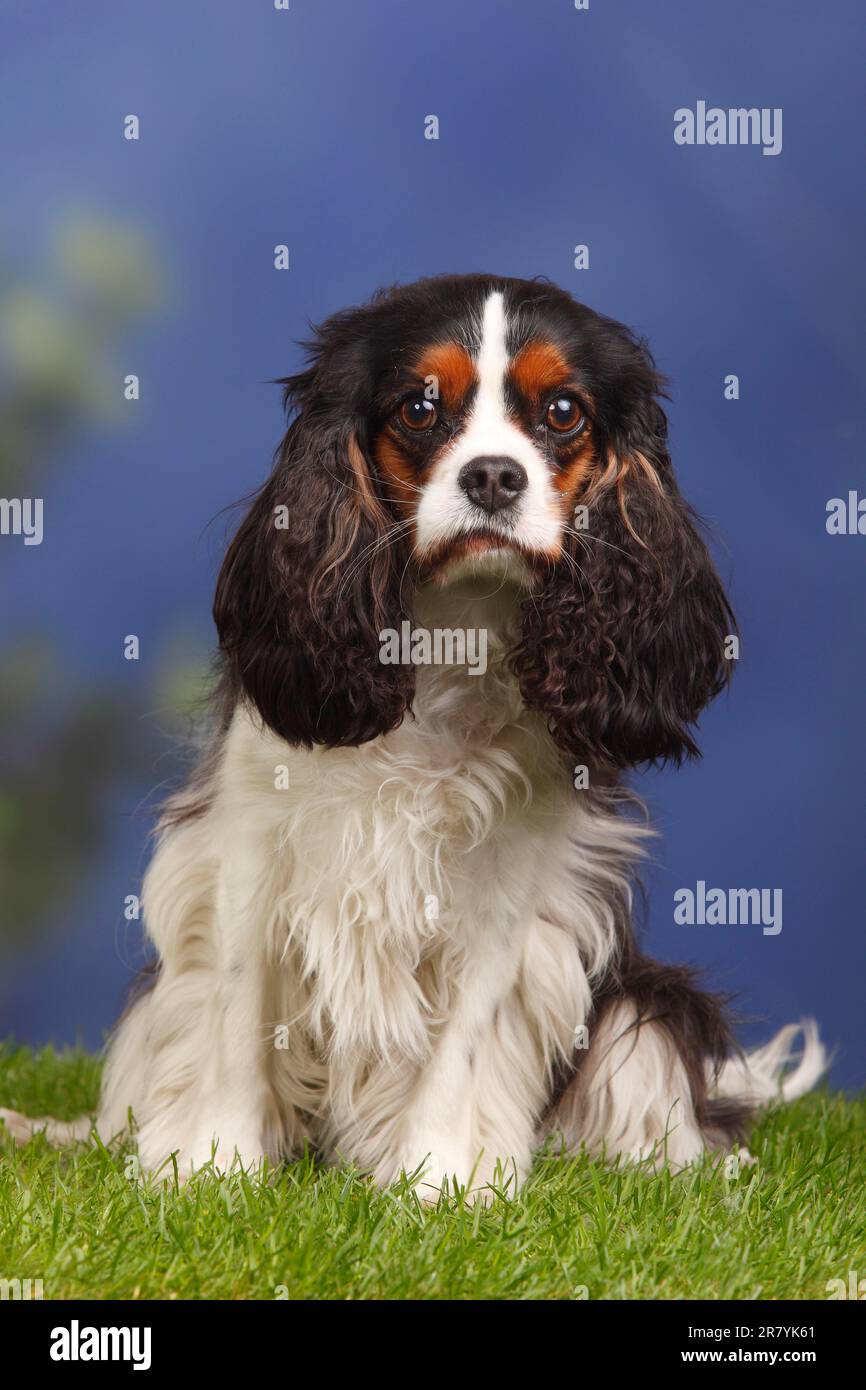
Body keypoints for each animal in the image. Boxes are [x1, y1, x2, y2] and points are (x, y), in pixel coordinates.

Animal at [1, 273, 828, 1195]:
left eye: (564, 412)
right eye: (420, 409)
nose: (495, 475)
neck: (449, 638)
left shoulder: (513, 889)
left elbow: (464, 1039)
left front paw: (438, 1185)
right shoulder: (249, 848)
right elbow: (236, 1013)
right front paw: (214, 1167)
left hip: (641, 1005)